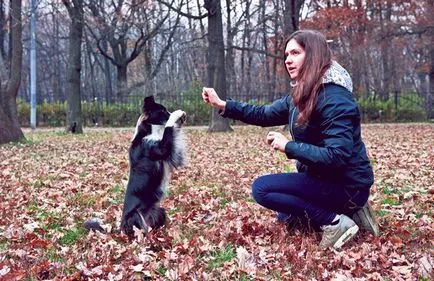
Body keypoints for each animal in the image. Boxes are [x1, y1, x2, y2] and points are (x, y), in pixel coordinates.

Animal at [84, 95, 187, 235]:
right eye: (162, 111)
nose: (182, 115)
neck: (149, 131)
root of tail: (120, 229)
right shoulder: (160, 148)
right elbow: (168, 129)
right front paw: (177, 115)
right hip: (136, 215)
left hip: (158, 210)